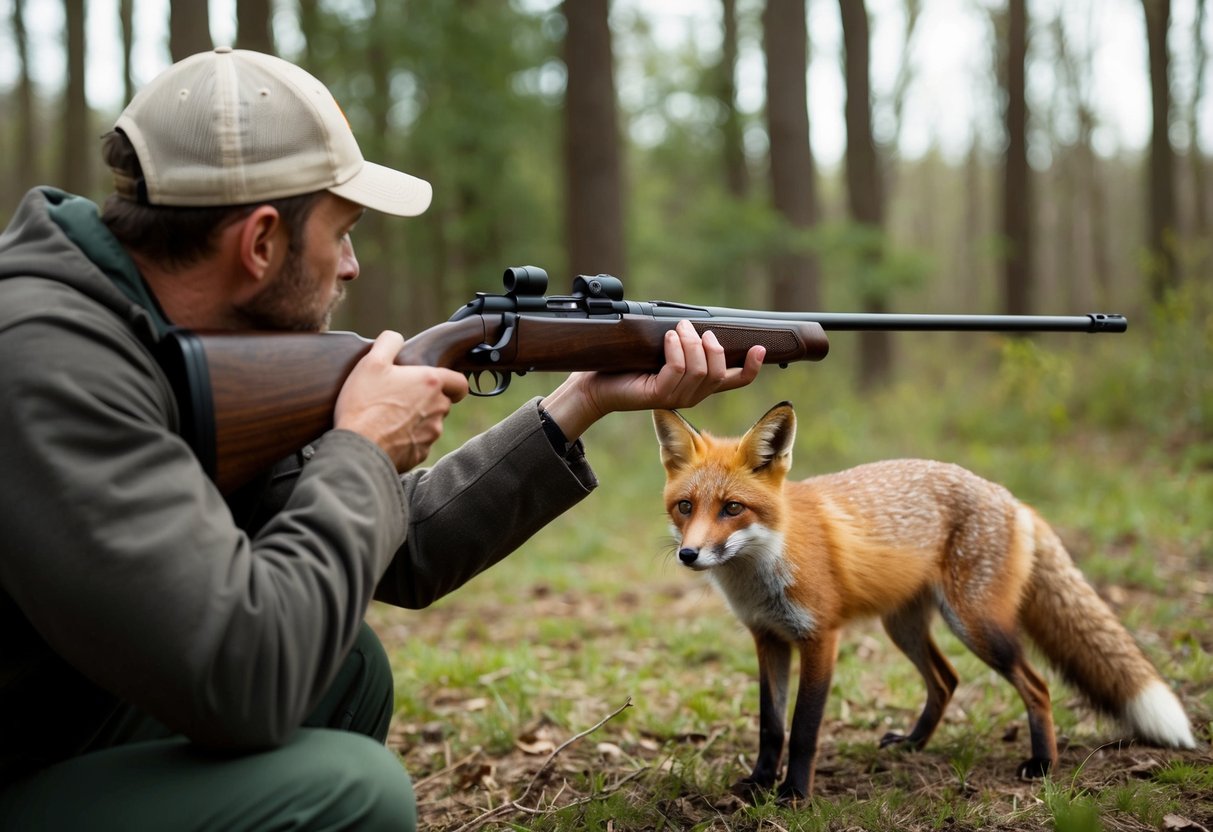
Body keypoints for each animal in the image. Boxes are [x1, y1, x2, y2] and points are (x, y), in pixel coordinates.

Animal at [652, 401, 1197, 803]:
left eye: (733, 508)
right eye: (685, 507)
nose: (688, 554)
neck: (766, 560)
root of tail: (1012, 498)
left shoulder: (820, 638)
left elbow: (803, 729)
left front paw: (794, 795)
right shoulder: (768, 638)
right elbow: (770, 726)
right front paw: (760, 783)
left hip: (977, 626)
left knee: (1037, 686)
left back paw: (1042, 763)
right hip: (905, 628)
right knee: (946, 679)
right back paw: (913, 744)